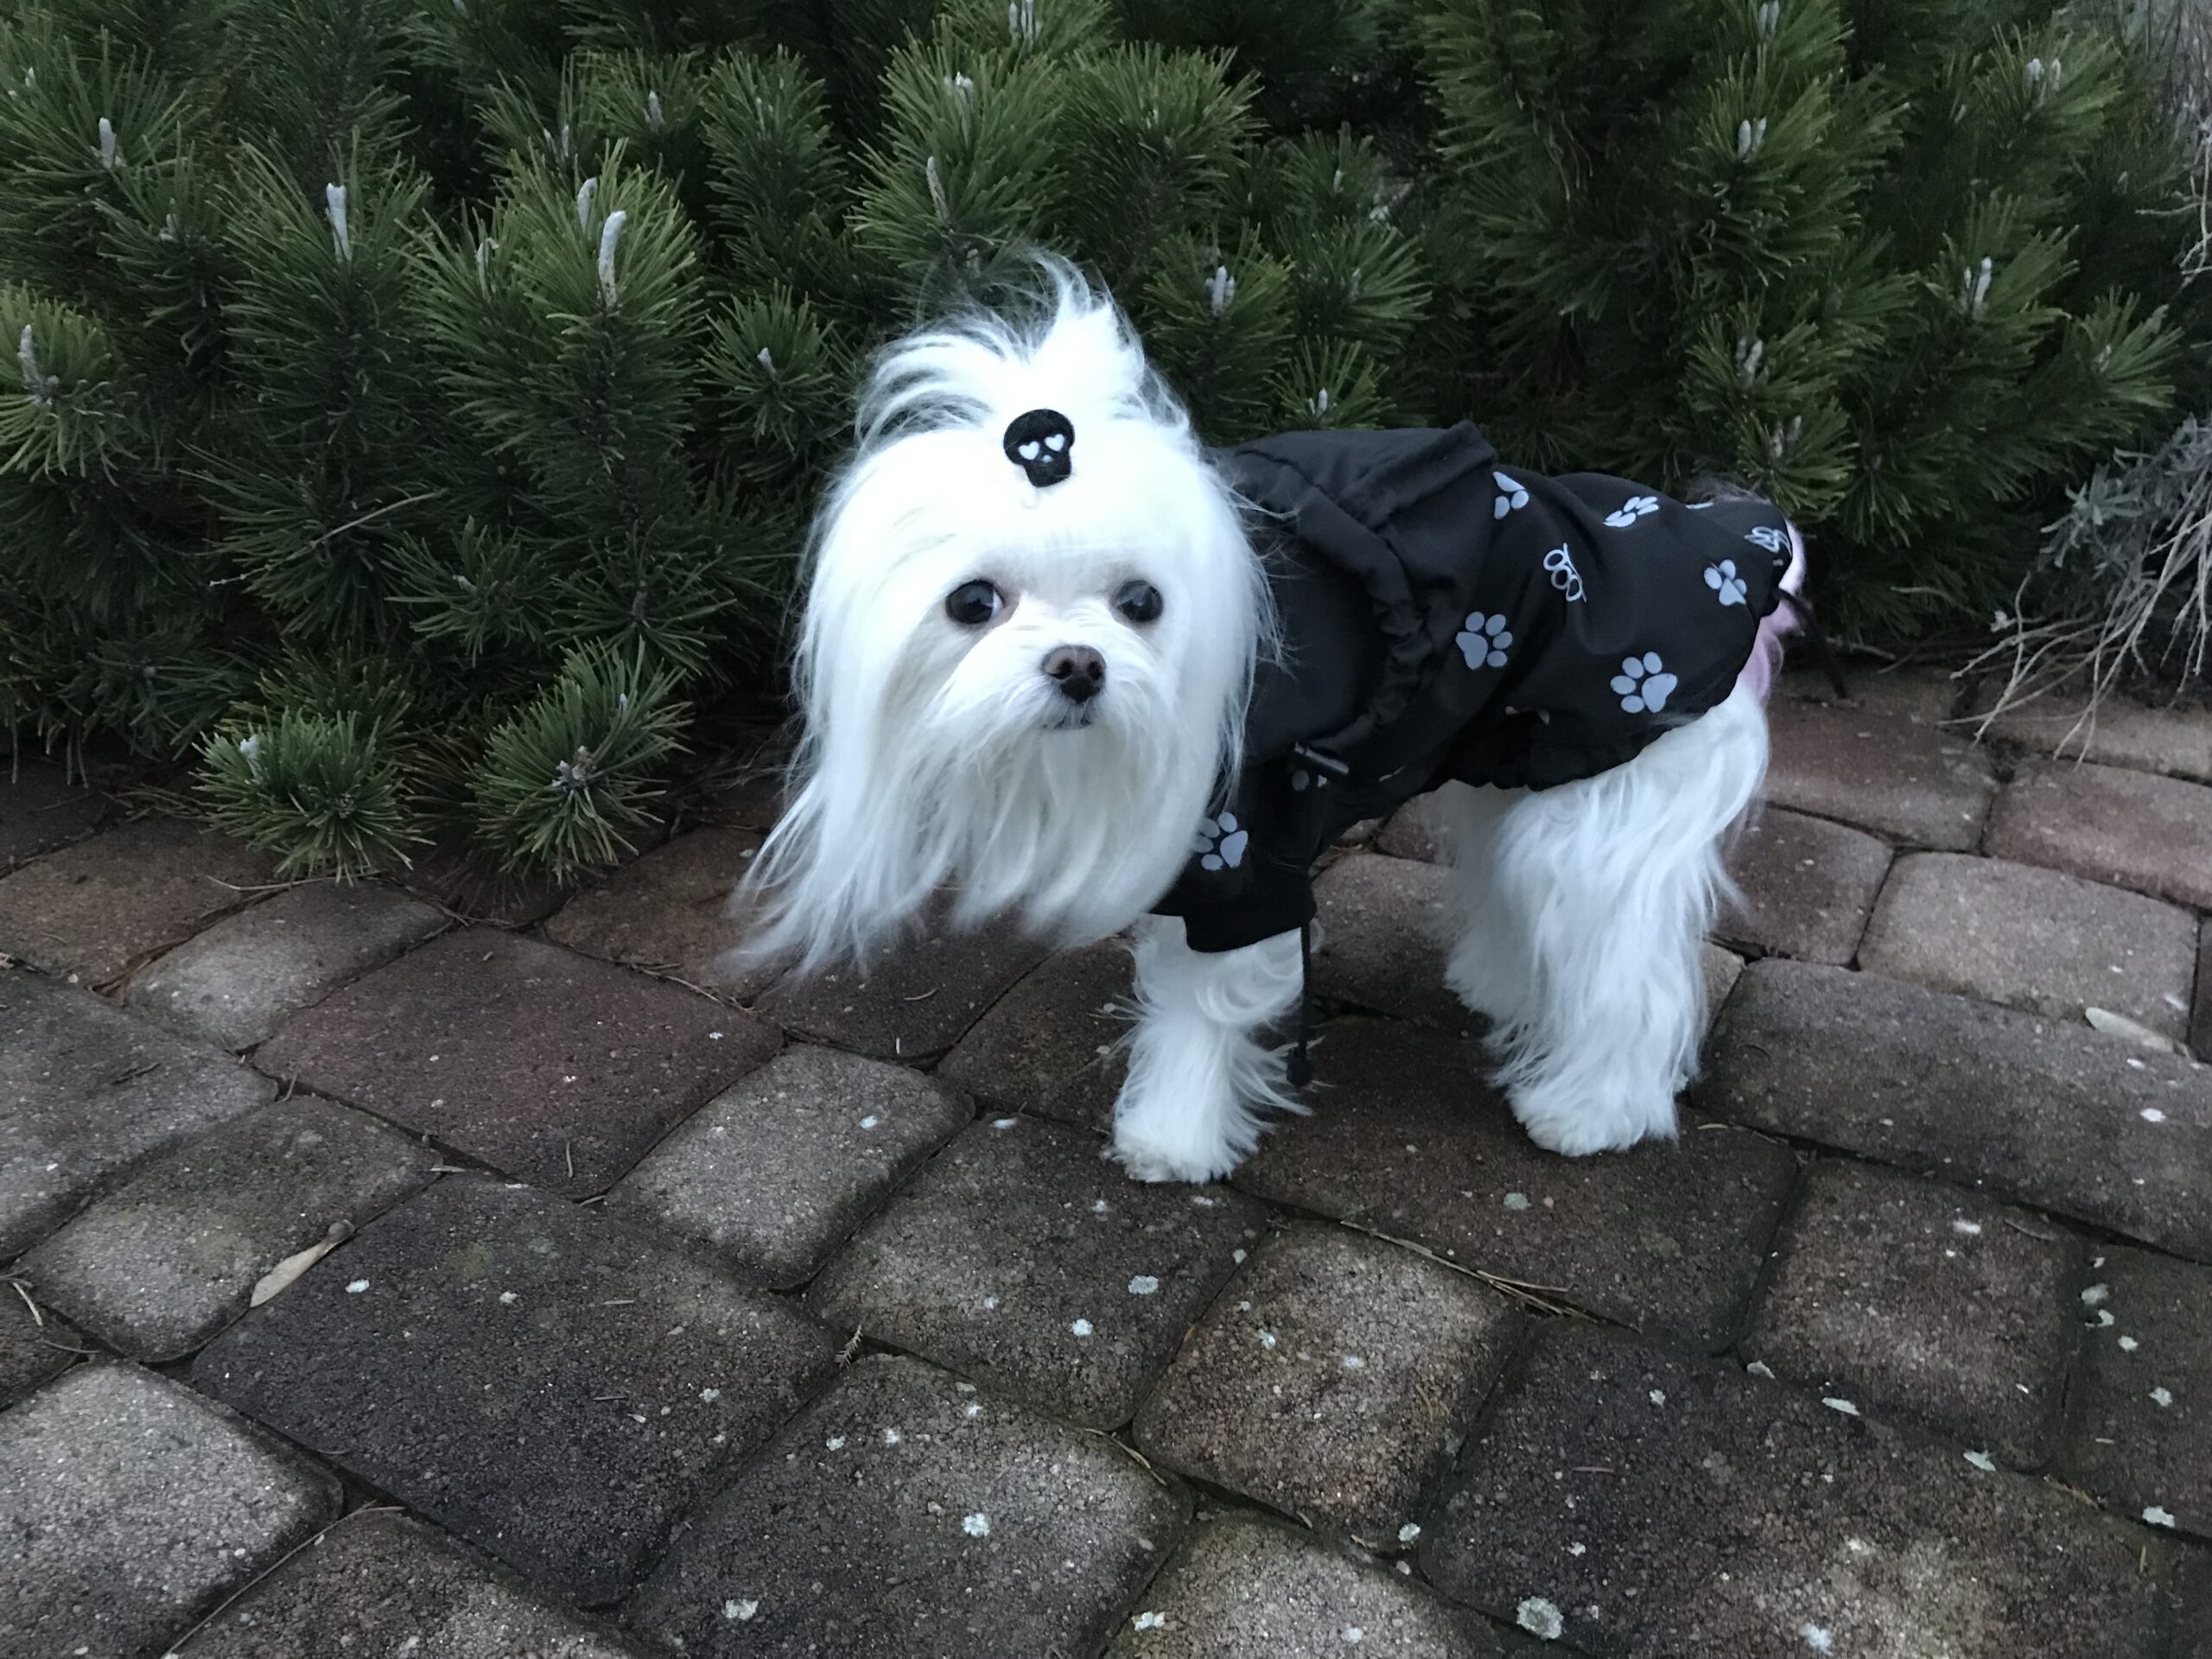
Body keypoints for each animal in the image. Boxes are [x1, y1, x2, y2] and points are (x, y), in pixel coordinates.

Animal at [737, 264, 1804, 1184]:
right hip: (1514, 753)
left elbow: (1200, 1004)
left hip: (1606, 788)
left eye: (1141, 602)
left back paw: (1590, 1111)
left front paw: (1172, 1132)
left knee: (1625, 966)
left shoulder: (1241, 850)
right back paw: (1501, 989)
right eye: (971, 604)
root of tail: (1739, 554)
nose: (1079, 666)